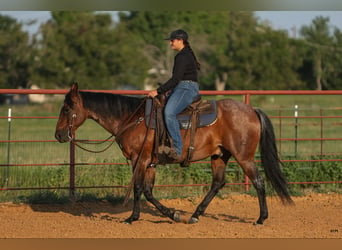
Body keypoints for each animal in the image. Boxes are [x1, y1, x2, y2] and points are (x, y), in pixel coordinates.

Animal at [54, 83, 292, 225]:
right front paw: (173, 214)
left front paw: (132, 217)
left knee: (258, 181)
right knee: (217, 183)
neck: (131, 118)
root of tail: (252, 110)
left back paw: (261, 218)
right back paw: (195, 215)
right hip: (219, 156)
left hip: (244, 157)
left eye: (67, 109)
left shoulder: (139, 160)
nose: (58, 135)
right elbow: (148, 191)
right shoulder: (150, 163)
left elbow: (138, 188)